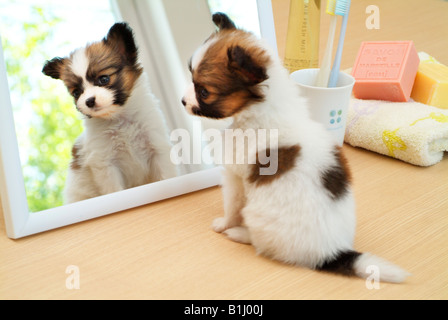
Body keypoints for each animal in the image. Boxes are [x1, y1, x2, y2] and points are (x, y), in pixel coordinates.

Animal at [43, 22, 178, 204]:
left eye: (104, 79)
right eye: (77, 93)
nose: (89, 101)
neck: (120, 119)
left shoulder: (157, 149)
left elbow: (166, 177)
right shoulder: (106, 165)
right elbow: (115, 190)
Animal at [183, 13, 410, 282]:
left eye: (203, 91)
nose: (183, 101)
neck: (261, 108)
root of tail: (330, 253)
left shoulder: (234, 176)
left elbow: (232, 205)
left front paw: (224, 224)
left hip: (258, 217)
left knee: (261, 243)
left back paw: (239, 233)